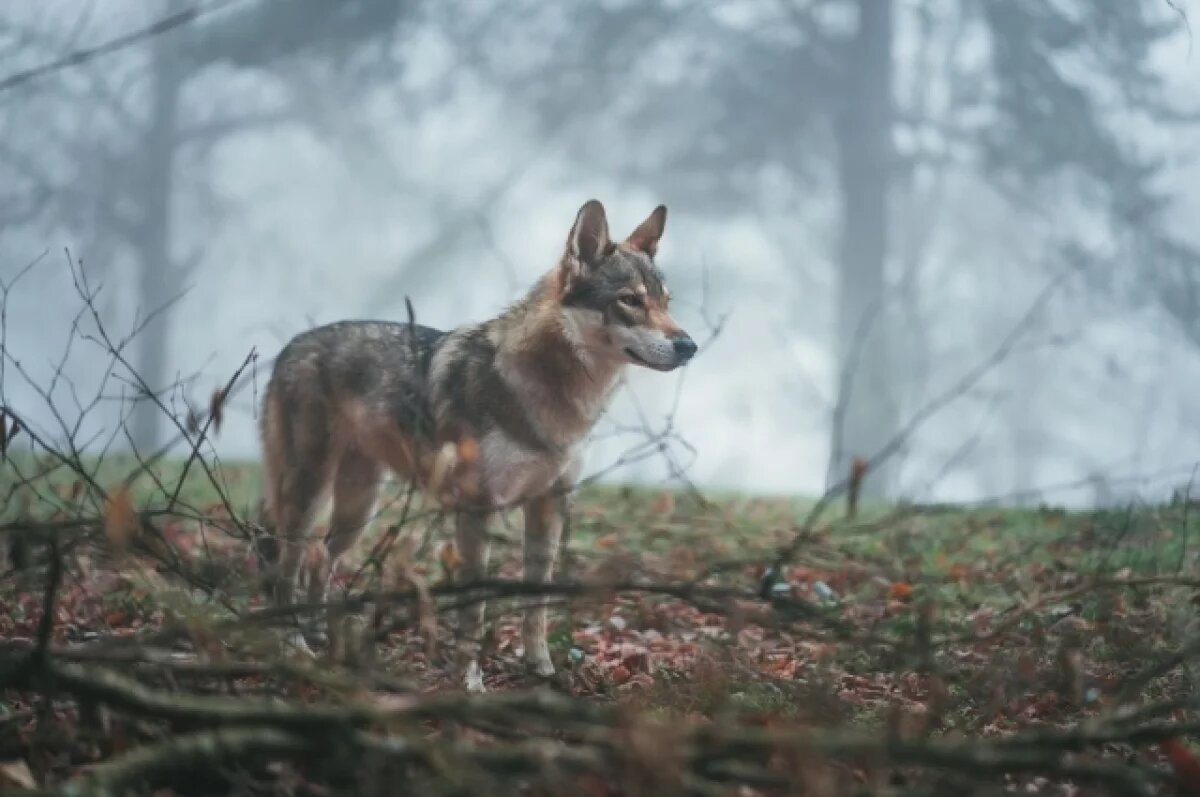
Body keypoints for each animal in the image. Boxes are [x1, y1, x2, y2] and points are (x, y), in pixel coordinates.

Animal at [258, 199, 700, 691]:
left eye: (665, 302)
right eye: (630, 300)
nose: (689, 346)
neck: (549, 395)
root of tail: (292, 345)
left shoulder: (549, 506)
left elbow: (536, 605)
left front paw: (541, 669)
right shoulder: (476, 510)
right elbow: (475, 610)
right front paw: (470, 681)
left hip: (358, 508)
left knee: (319, 558)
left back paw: (317, 633)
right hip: (310, 495)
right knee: (286, 568)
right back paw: (293, 646)